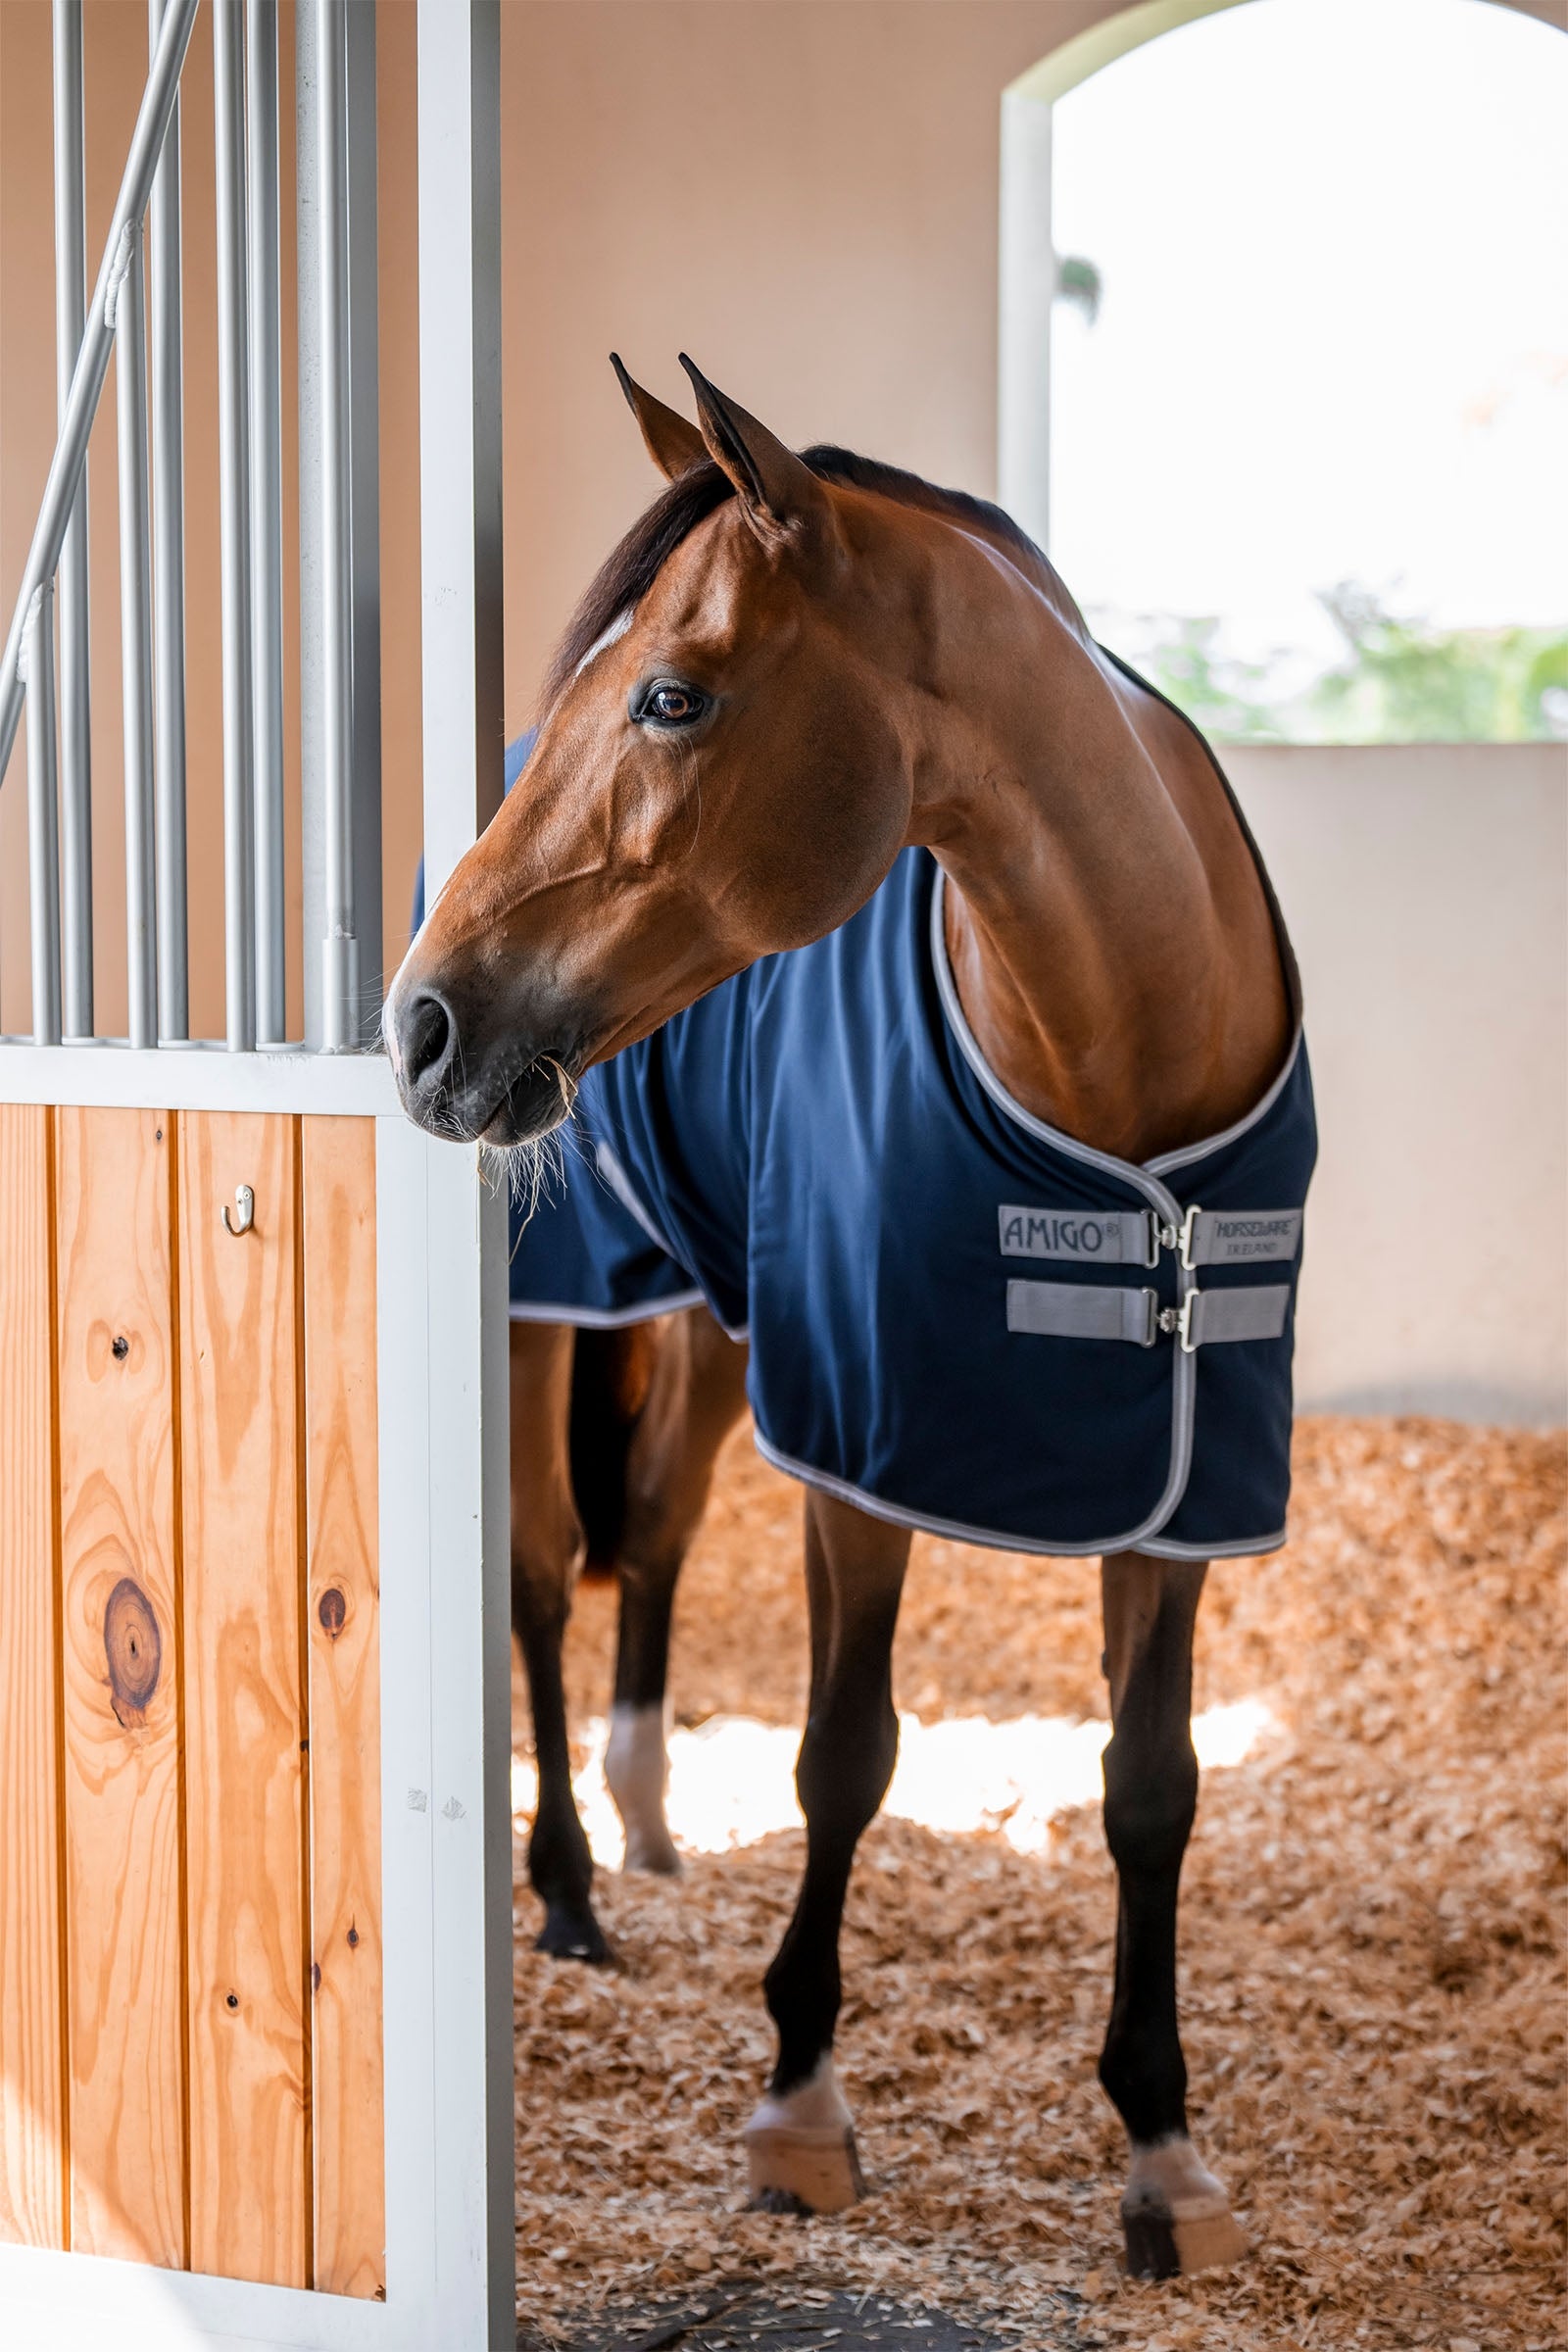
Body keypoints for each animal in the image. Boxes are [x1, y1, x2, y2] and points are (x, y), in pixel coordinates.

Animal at [385, 356, 1316, 2279]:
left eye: (671, 696)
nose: (420, 1025)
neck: (1114, 1061)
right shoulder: (863, 1462)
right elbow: (844, 1757)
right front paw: (800, 2109)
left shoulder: (1183, 1485)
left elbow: (1154, 1786)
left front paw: (1165, 2153)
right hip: (550, 1310)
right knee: (542, 1572)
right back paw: (568, 1889)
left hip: (718, 1328)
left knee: (656, 1534)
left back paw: (651, 1825)